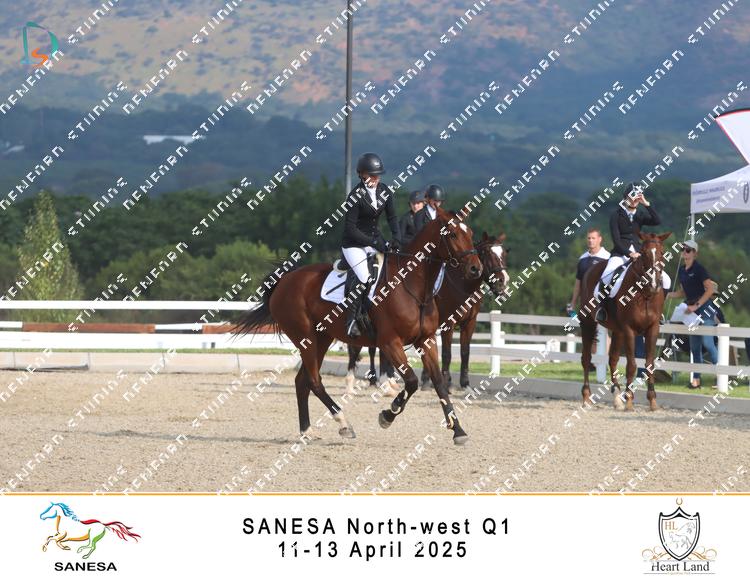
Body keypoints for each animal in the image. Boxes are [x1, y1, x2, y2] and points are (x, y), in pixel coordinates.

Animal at [233, 206, 482, 445]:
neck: (412, 285)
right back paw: (343, 423)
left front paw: (458, 430)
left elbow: (439, 383)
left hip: (322, 338)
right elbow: (411, 381)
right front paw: (388, 415)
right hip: (305, 338)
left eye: (471, 233)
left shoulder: (426, 340)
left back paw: (307, 431)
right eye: (452, 234)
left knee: (302, 381)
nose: (476, 269)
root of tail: (285, 280)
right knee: (314, 381)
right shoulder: (390, 342)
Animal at [420, 231, 508, 389]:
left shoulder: (470, 323)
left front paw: (465, 383)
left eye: (504, 253)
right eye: (487, 253)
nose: (502, 282)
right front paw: (447, 382)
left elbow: (465, 352)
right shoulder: (448, 324)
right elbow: (447, 353)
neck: (463, 286)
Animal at [579, 231, 671, 411]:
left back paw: (617, 399)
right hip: (588, 323)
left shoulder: (652, 329)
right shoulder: (629, 330)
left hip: (617, 331)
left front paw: (652, 400)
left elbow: (649, 364)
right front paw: (629, 400)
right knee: (586, 359)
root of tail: (590, 269)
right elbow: (632, 365)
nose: (654, 284)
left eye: (662, 252)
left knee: (612, 359)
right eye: (643, 253)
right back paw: (586, 397)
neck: (645, 294)